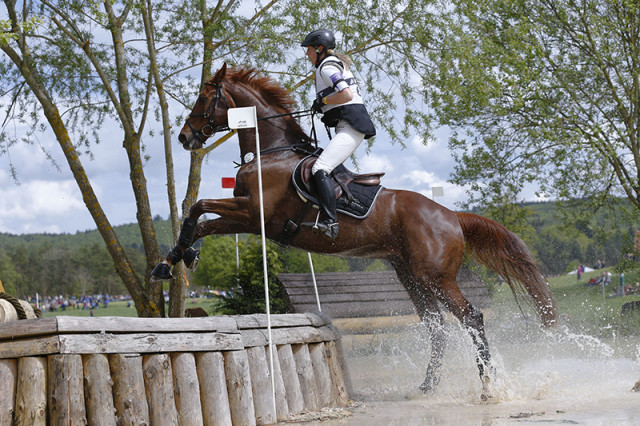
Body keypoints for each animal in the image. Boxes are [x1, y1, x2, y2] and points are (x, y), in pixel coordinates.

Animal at [152, 63, 556, 400]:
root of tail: (451, 216)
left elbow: (198, 209)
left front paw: (178, 257)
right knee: (436, 326)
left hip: (436, 276)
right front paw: (174, 260)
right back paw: (428, 385)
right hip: (411, 275)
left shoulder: (254, 214)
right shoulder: (249, 215)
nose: (185, 137)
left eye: (204, 98)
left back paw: (488, 386)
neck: (273, 152)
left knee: (471, 317)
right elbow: (201, 216)